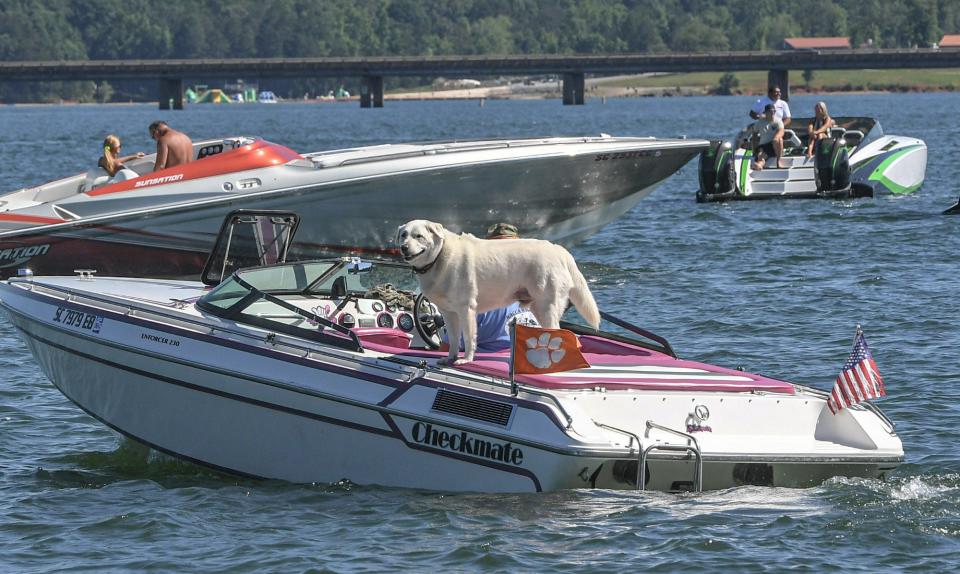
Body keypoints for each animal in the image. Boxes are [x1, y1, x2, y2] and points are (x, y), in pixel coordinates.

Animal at [394, 220, 596, 364]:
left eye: (419, 236)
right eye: (404, 235)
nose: (403, 247)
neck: (439, 257)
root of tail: (559, 249)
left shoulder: (466, 309)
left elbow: (468, 338)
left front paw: (466, 359)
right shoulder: (449, 313)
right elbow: (453, 338)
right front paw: (450, 358)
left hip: (546, 305)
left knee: (557, 331)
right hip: (538, 306)